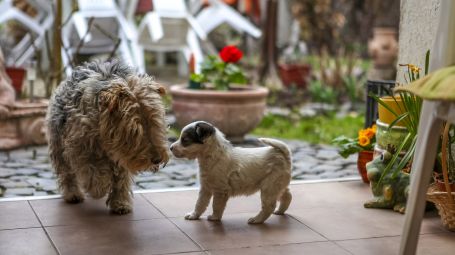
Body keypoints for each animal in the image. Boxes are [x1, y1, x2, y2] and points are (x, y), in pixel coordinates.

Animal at [47, 59, 170, 213]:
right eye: (134, 130)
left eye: (155, 122)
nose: (157, 159)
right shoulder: (80, 147)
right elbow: (91, 170)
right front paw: (97, 188)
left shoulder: (122, 155)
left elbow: (121, 179)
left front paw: (120, 202)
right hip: (59, 145)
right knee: (67, 173)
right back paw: (73, 194)